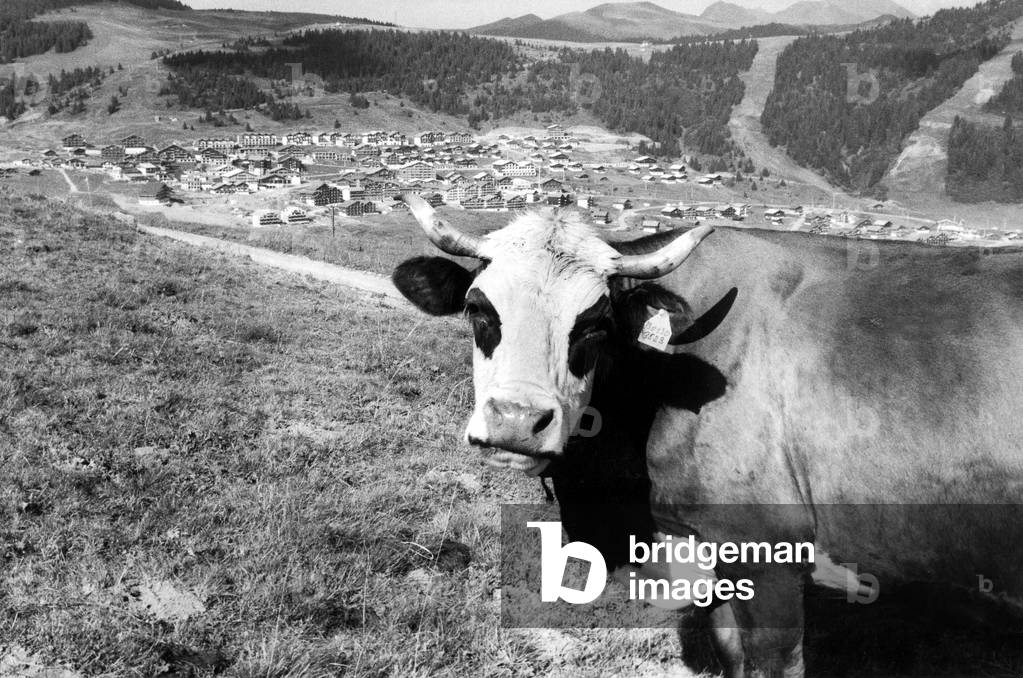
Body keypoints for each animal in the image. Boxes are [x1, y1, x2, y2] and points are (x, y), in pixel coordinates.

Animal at [391, 196, 1023, 677]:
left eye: (594, 324)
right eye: (478, 308)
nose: (517, 420)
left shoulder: (767, 551)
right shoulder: (707, 546)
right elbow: (730, 655)